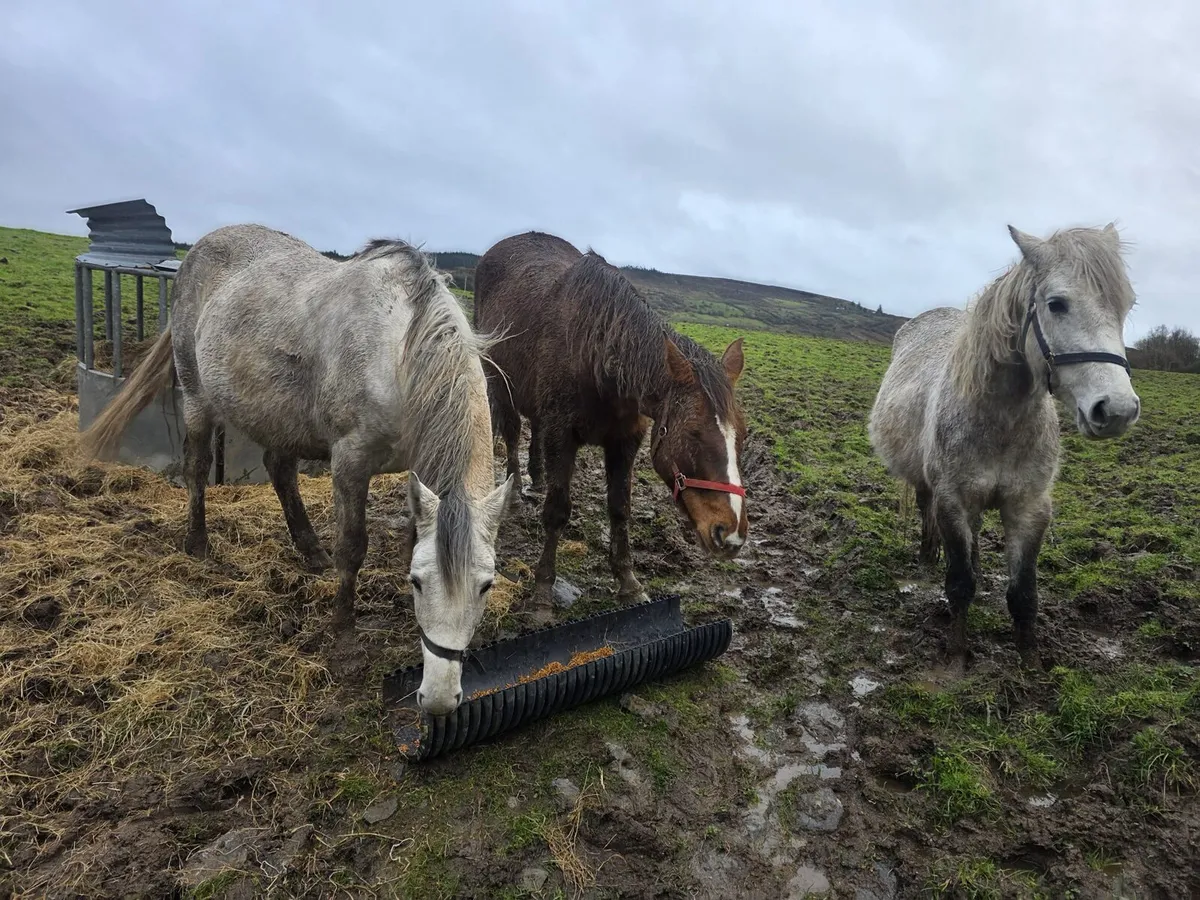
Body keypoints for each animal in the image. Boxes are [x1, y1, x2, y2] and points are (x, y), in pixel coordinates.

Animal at [79, 224, 514, 715]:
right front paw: (343, 644)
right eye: (418, 583)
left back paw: (309, 549)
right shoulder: (350, 462)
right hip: (196, 399)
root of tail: (200, 250)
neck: (400, 352)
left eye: (487, 585)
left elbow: (408, 539)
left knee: (280, 471)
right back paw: (198, 544)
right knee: (196, 468)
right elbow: (352, 548)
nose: (439, 699)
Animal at [473, 230, 748, 617]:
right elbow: (557, 511)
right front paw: (543, 591)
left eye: (743, 436)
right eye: (693, 433)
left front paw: (628, 583)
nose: (731, 533)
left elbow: (620, 508)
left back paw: (537, 478)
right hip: (500, 383)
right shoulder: (562, 436)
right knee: (512, 434)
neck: (597, 353)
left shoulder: (625, 441)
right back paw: (513, 492)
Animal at [868, 223, 1140, 669]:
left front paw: (1029, 662)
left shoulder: (1029, 509)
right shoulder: (953, 500)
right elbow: (960, 584)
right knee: (927, 510)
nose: (1116, 409)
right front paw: (957, 654)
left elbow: (1024, 593)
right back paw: (927, 555)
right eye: (1056, 304)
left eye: (1126, 305)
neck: (1003, 422)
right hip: (928, 485)